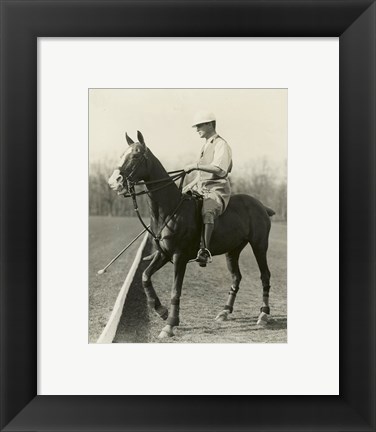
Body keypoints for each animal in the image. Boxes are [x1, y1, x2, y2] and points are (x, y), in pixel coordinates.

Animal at [107, 130, 274, 340]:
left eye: (136, 155)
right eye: (123, 153)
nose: (113, 181)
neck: (169, 209)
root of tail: (262, 206)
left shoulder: (180, 257)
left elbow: (175, 290)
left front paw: (170, 324)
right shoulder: (163, 254)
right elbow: (145, 277)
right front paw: (161, 311)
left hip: (260, 245)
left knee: (265, 275)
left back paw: (263, 314)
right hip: (233, 250)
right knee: (236, 277)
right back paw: (224, 311)